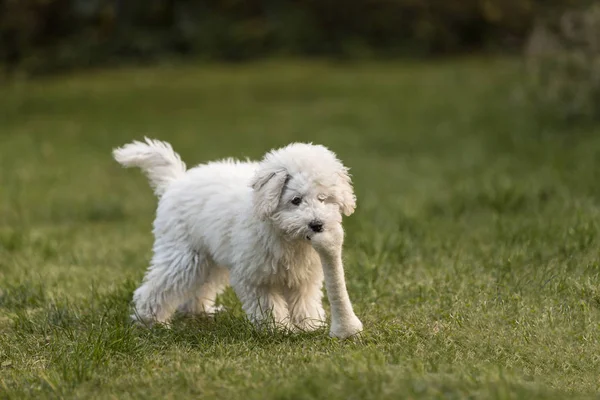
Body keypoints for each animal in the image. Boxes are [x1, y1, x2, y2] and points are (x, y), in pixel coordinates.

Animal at [115, 139, 364, 340]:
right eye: (296, 200)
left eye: (323, 198)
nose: (317, 225)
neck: (284, 234)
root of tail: (176, 182)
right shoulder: (256, 277)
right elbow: (268, 304)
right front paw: (278, 330)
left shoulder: (303, 276)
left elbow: (304, 301)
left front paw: (309, 326)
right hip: (185, 255)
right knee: (158, 286)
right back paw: (150, 321)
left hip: (210, 258)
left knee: (201, 286)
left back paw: (201, 312)